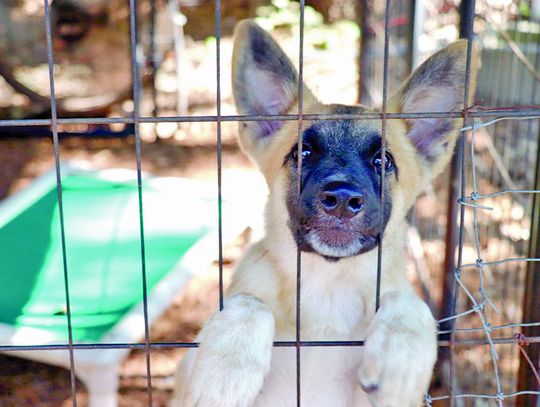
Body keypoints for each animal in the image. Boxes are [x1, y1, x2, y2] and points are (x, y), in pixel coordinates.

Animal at [171, 21, 478, 407]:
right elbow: (249, 302)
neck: (327, 290)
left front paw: (400, 358)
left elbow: (409, 301)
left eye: (383, 161)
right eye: (303, 153)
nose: (342, 199)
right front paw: (226, 370)